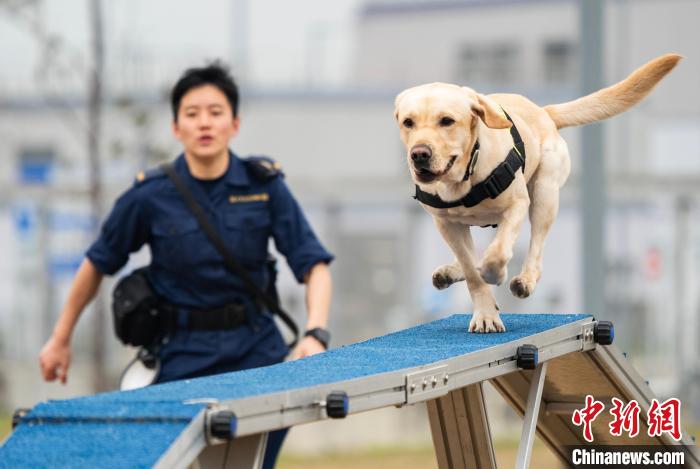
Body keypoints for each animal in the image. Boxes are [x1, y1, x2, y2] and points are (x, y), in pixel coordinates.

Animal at [396, 54, 680, 332]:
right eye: (408, 122)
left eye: (447, 121)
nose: (419, 154)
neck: (463, 177)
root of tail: (544, 111)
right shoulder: (445, 223)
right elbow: (471, 270)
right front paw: (485, 312)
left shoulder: (517, 205)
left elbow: (497, 254)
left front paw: (495, 274)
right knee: (471, 255)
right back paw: (451, 271)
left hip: (545, 194)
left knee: (535, 249)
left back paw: (525, 279)